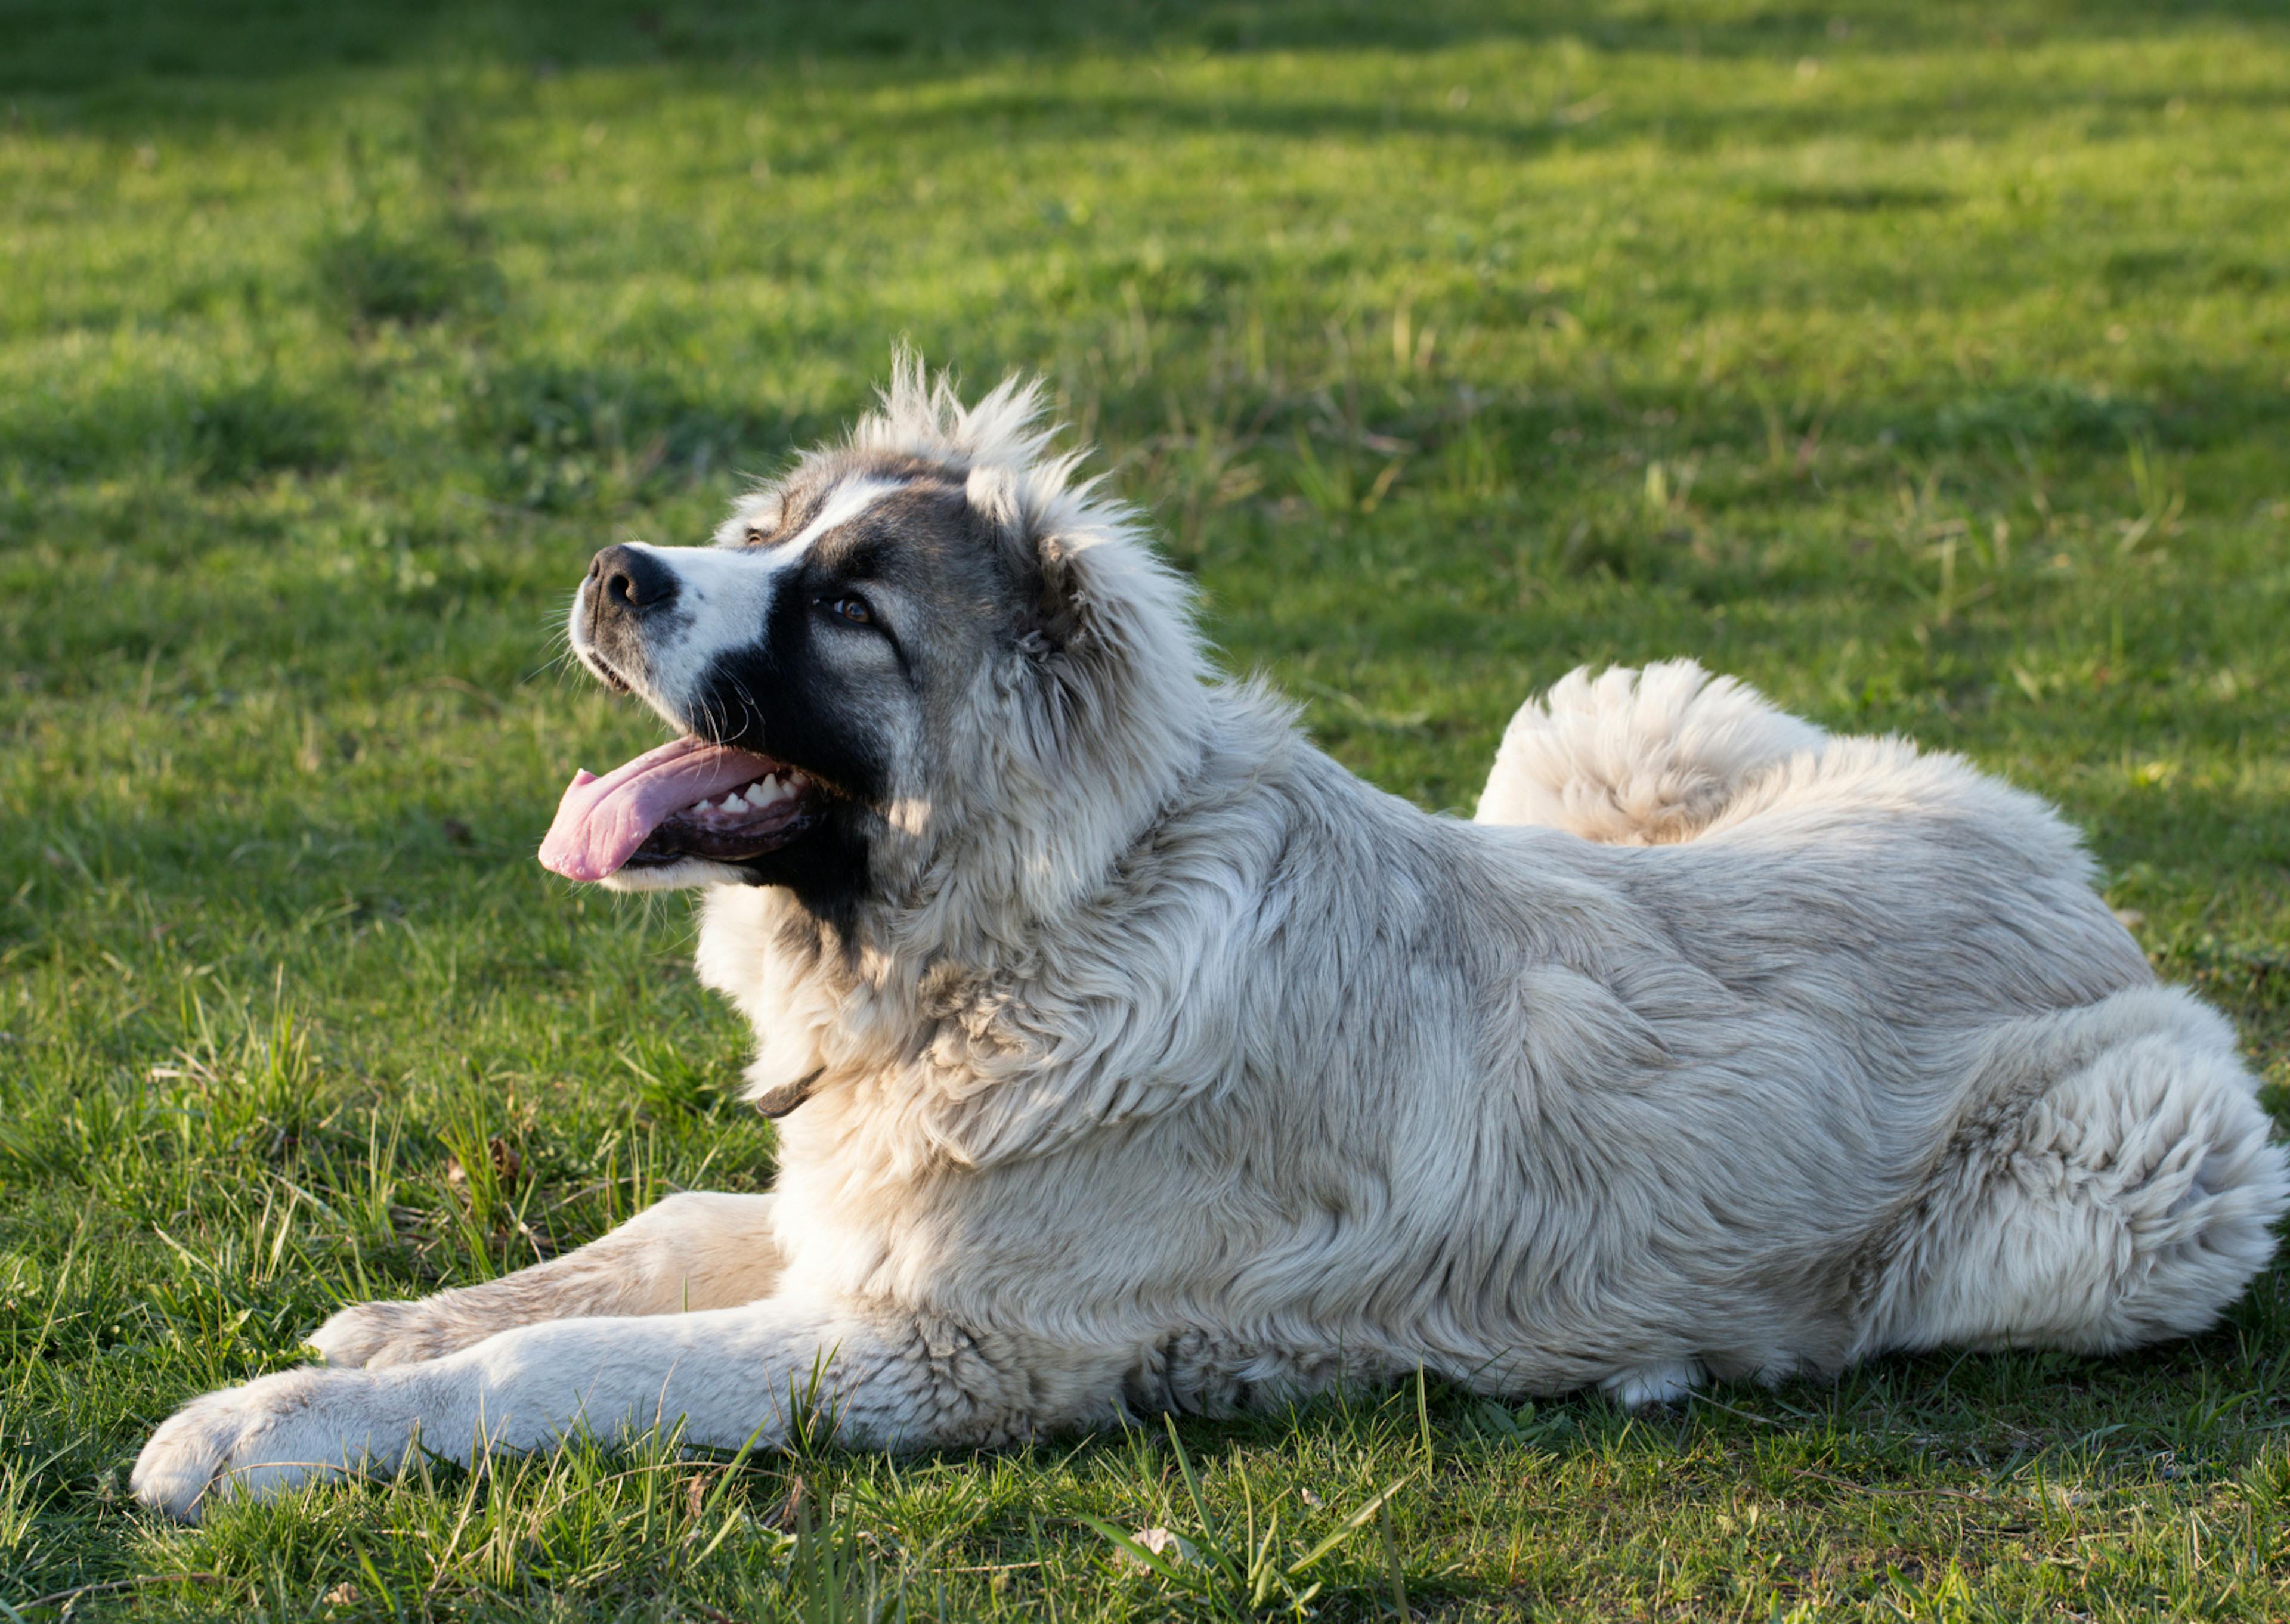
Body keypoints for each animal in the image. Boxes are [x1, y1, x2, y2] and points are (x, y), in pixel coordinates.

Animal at [129, 357, 2290, 1521]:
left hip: (2137, 1173)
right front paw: (402, 1317)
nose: (610, 572)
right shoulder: (857, 1217)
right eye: (762, 534)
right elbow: (653, 1237)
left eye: (848, 610)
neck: (1040, 927)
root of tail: (2061, 867)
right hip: (1597, 722)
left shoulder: (935, 1346)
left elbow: (567, 1368)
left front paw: (262, 1428)